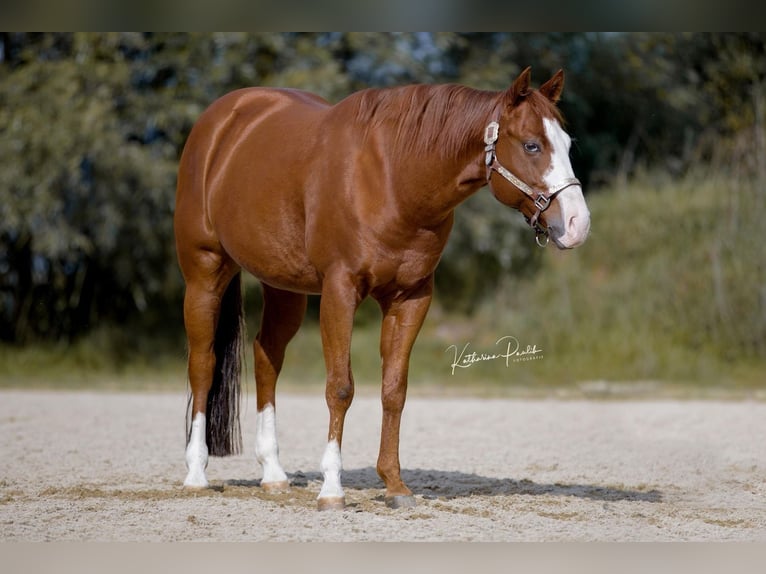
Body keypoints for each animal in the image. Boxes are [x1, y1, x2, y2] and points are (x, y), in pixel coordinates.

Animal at [174, 67, 590, 510]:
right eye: (532, 145)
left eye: (567, 143)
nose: (577, 224)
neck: (393, 177)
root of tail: (221, 120)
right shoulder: (340, 290)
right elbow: (340, 387)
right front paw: (332, 489)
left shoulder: (411, 298)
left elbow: (394, 389)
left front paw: (394, 484)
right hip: (204, 273)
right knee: (202, 365)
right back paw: (196, 473)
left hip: (284, 287)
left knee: (266, 357)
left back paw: (273, 474)